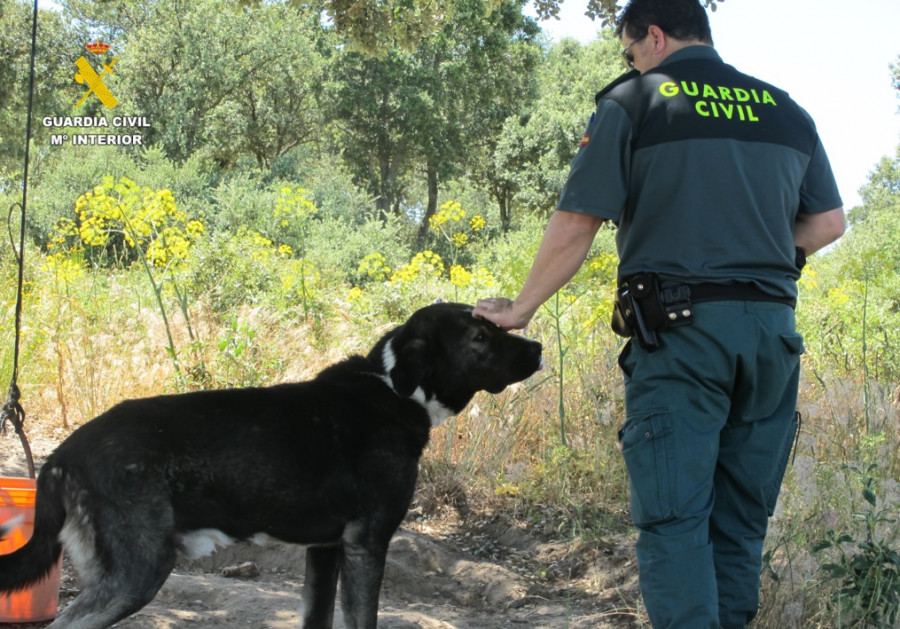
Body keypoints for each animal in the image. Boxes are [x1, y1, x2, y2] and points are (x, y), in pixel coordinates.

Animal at [0, 300, 540, 628]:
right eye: (479, 337)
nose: (536, 348)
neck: (393, 388)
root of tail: (63, 455)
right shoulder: (366, 545)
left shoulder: (325, 550)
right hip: (136, 572)